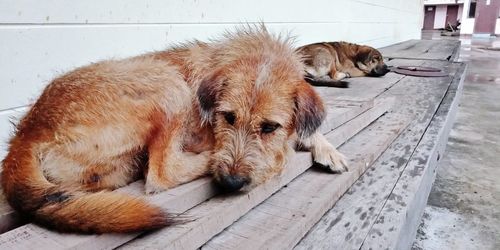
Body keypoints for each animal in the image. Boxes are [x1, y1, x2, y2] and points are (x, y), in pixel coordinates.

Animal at [0, 27, 348, 234]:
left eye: (269, 127)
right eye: (227, 117)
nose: (231, 182)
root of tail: (28, 129)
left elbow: (309, 128)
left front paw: (328, 149)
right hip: (167, 83)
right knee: (161, 173)